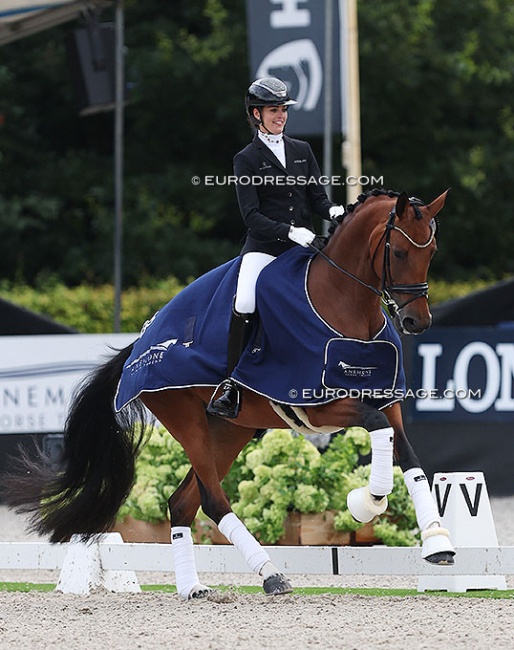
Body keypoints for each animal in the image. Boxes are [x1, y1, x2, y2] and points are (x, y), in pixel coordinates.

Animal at [3, 187, 452, 596]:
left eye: (431, 252)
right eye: (398, 253)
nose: (417, 322)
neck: (345, 307)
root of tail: (141, 342)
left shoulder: (388, 402)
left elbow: (409, 457)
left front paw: (437, 543)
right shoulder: (319, 407)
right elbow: (376, 428)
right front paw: (369, 501)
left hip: (230, 429)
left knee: (182, 503)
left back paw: (192, 588)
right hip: (185, 419)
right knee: (213, 500)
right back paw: (270, 574)